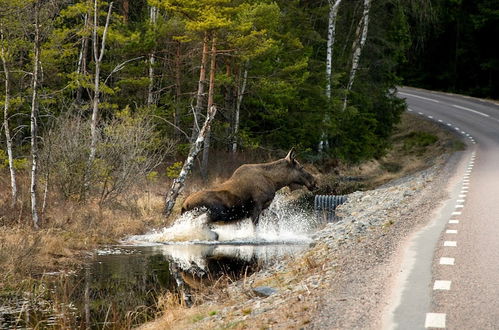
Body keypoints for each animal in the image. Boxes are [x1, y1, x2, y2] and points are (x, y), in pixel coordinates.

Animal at [182, 149, 318, 224]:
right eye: (301, 167)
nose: (314, 182)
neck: (275, 182)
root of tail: (184, 206)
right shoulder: (256, 206)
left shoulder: (265, 206)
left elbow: (276, 218)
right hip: (211, 214)